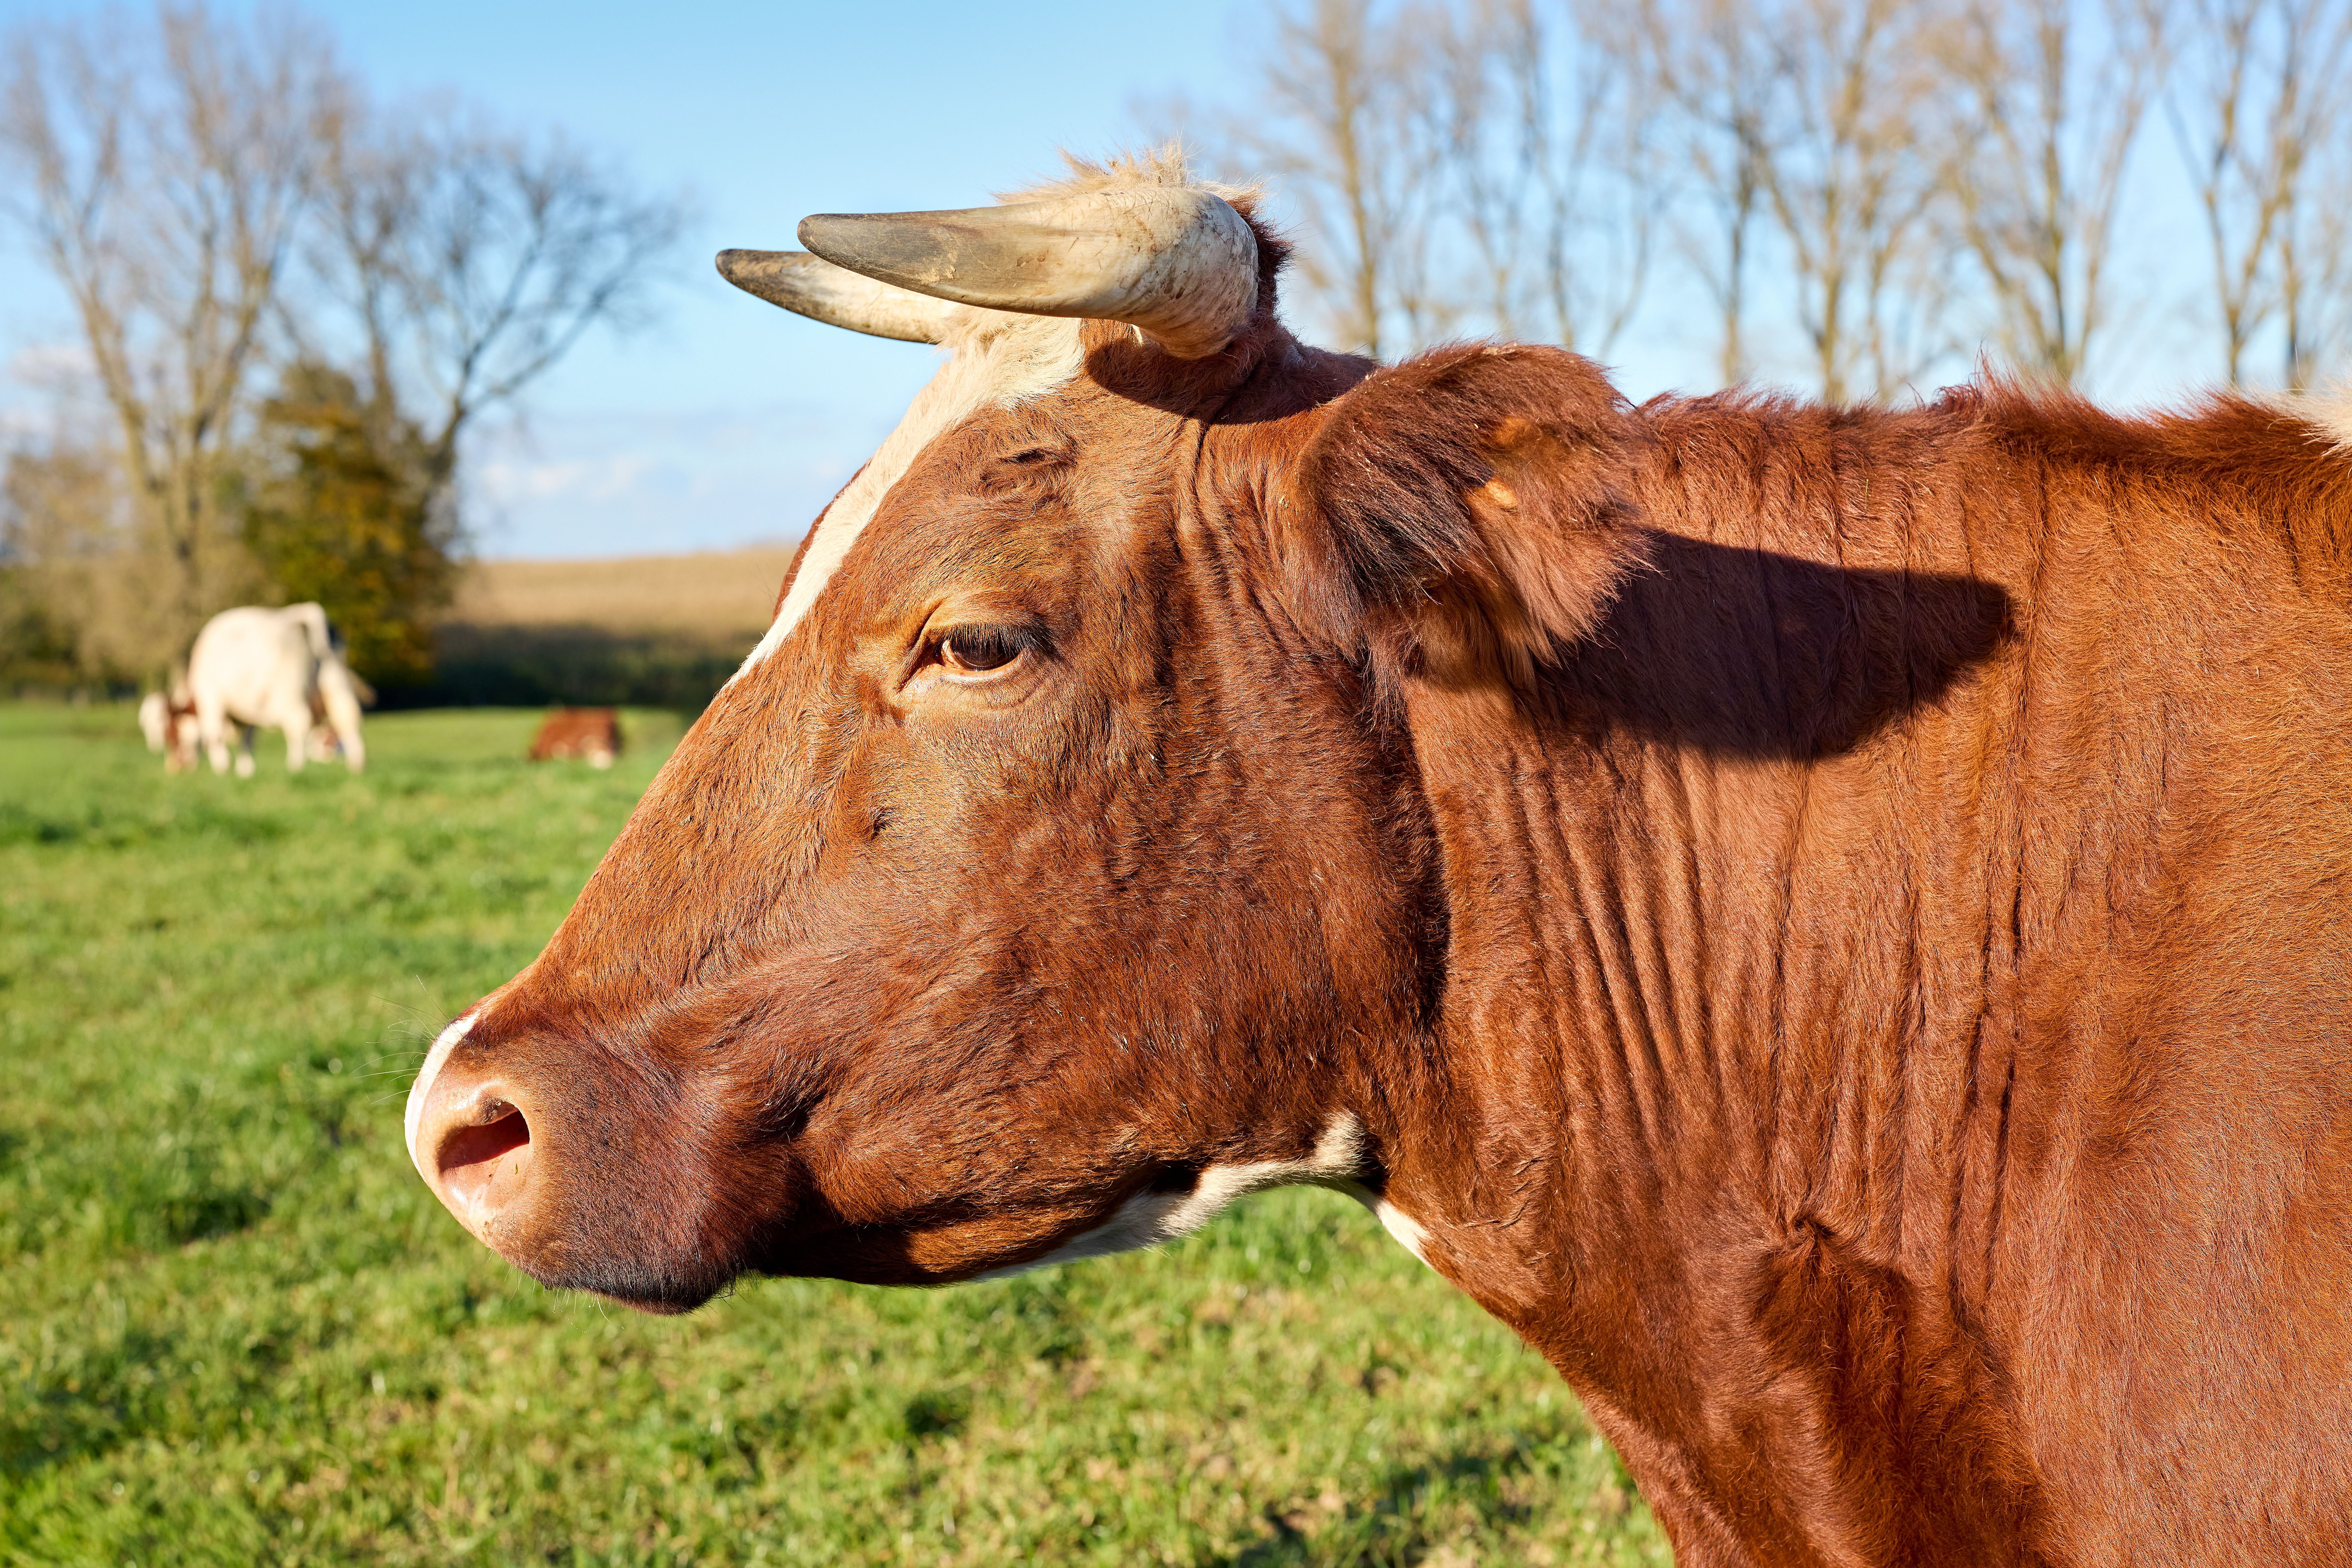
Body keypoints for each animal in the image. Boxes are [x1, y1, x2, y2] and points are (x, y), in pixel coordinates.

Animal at [187, 603, 370, 776]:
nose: (186, 767)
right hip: (336, 678)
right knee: (347, 717)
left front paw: (222, 768)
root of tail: (305, 614)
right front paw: (246, 770)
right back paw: (356, 766)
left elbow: (216, 735)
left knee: (299, 722)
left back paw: (295, 767)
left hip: (289, 689)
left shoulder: (210, 697)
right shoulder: (250, 709)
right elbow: (248, 738)